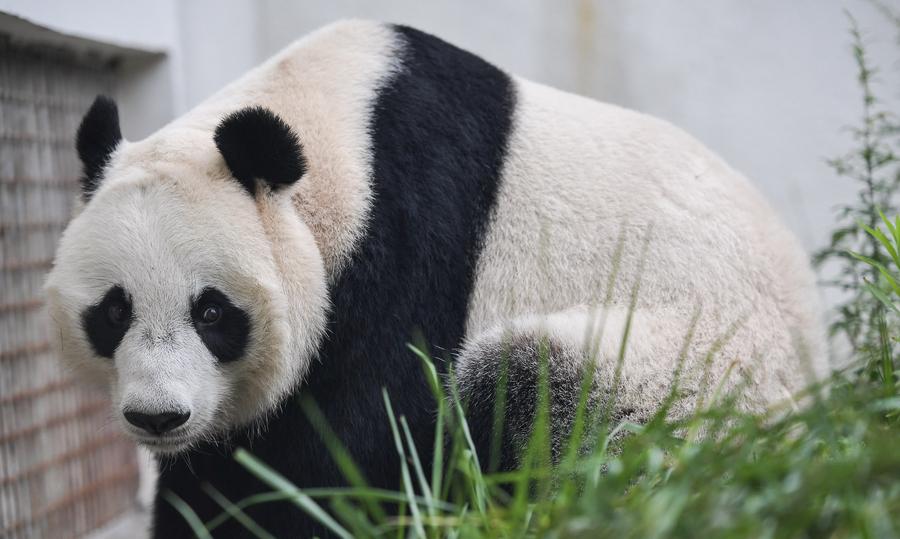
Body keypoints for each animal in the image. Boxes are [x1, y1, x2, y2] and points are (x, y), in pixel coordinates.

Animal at [45, 19, 828, 536]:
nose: (158, 417)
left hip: (697, 375)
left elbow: (359, 437)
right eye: (112, 312)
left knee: (539, 389)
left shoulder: (408, 228)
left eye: (213, 312)